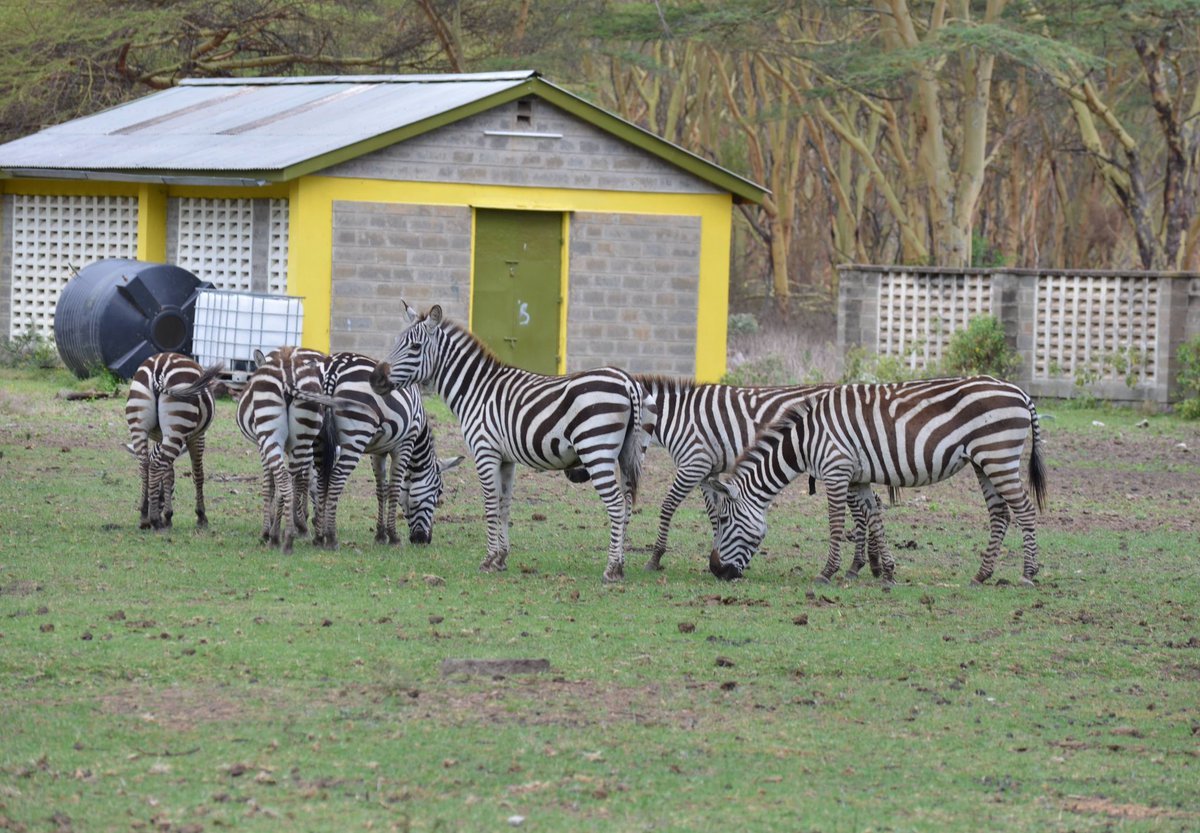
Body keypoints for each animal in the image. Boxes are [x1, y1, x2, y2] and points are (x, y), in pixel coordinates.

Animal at [124, 352, 224, 530]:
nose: (158, 503)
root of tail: (158, 368)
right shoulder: (198, 437)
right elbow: (198, 474)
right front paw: (201, 516)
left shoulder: (161, 438)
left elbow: (168, 474)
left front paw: (168, 516)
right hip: (179, 424)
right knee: (156, 467)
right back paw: (154, 520)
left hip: (139, 424)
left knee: (144, 466)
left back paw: (144, 517)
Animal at [236, 346, 338, 554]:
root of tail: (289, 374)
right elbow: (297, 482)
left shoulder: (261, 444)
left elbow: (269, 485)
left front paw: (266, 530)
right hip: (305, 438)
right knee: (299, 479)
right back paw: (294, 532)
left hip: (270, 435)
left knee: (284, 479)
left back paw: (278, 536)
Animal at [306, 351, 464, 548]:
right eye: (438, 491)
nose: (423, 540)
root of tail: (334, 367)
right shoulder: (405, 443)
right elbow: (394, 488)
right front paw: (394, 537)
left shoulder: (378, 451)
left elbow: (381, 489)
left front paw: (380, 535)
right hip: (357, 435)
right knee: (336, 477)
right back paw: (332, 537)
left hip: (319, 437)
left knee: (320, 480)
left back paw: (319, 537)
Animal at [378, 302, 654, 582]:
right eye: (396, 342)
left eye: (415, 347)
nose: (377, 377)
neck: (475, 391)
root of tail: (628, 381)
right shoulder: (506, 459)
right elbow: (504, 505)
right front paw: (500, 559)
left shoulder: (485, 451)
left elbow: (490, 504)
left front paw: (488, 560)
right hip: (630, 453)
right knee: (628, 503)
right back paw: (621, 565)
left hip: (596, 450)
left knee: (617, 504)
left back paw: (611, 569)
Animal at [703, 376, 1048, 586]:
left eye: (724, 519)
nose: (716, 571)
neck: (805, 439)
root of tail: (1019, 391)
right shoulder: (859, 479)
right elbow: (874, 517)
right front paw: (888, 573)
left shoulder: (836, 470)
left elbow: (836, 524)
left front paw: (827, 572)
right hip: (983, 462)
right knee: (1000, 514)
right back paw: (981, 575)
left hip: (998, 455)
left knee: (1025, 510)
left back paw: (1028, 574)